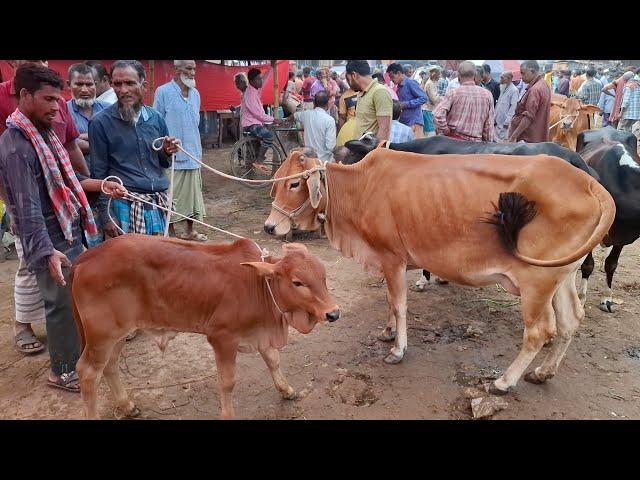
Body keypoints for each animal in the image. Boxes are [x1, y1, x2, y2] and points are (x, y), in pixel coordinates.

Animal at [70, 234, 340, 418]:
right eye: (297, 282)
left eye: (323, 276)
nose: (334, 313)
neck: (259, 285)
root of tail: (86, 257)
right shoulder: (222, 337)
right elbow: (228, 381)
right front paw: (228, 415)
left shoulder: (260, 333)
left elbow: (273, 360)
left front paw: (286, 390)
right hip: (101, 336)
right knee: (88, 372)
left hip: (118, 334)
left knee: (110, 366)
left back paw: (127, 405)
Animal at [264, 149, 616, 394]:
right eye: (276, 182)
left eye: (294, 184)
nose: (269, 227)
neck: (361, 187)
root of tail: (589, 183)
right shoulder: (388, 261)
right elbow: (389, 300)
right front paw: (387, 332)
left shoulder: (392, 257)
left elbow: (399, 304)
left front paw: (398, 349)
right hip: (562, 276)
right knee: (571, 320)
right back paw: (543, 373)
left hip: (537, 283)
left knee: (540, 332)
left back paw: (503, 382)